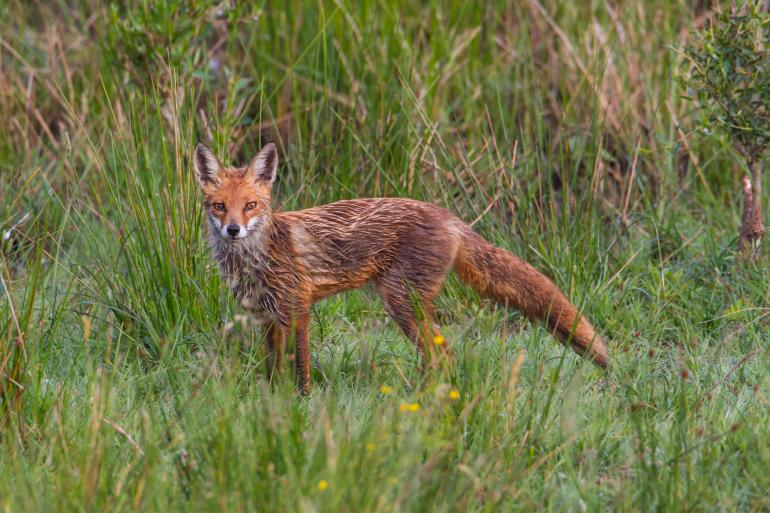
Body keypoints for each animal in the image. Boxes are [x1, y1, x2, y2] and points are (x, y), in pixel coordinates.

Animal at [195, 141, 608, 392]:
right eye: (220, 206)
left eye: (250, 205)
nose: (233, 229)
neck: (257, 258)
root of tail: (449, 217)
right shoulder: (265, 318)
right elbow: (272, 371)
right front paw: (271, 407)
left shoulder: (298, 310)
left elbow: (301, 369)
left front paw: (302, 405)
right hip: (409, 306)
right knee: (437, 356)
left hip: (401, 303)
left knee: (444, 355)